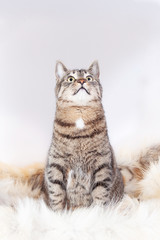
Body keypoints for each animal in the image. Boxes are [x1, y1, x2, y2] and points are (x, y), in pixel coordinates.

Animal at [44, 61, 124, 211]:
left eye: (89, 78)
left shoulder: (102, 163)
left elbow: (100, 192)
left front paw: (97, 213)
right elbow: (57, 192)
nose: (81, 81)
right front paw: (57, 214)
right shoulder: (56, 163)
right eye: (70, 79)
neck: (80, 114)